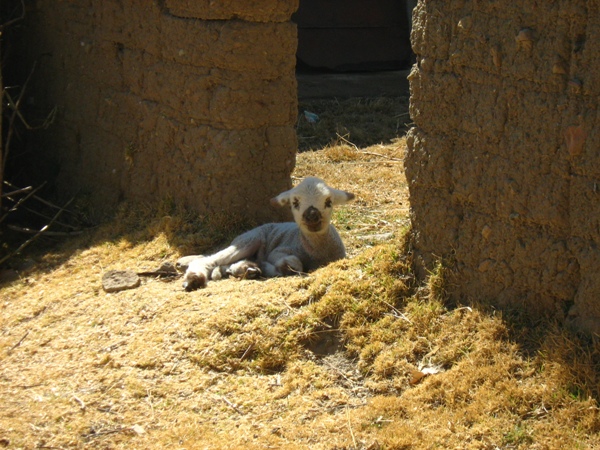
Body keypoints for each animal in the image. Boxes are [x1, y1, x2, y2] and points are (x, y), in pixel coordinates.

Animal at [178, 176, 356, 292]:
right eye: (295, 203)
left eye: (328, 202)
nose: (312, 216)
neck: (316, 250)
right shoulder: (280, 250)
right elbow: (292, 264)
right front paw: (283, 266)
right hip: (250, 240)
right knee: (211, 260)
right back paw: (194, 278)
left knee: (227, 265)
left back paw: (247, 268)